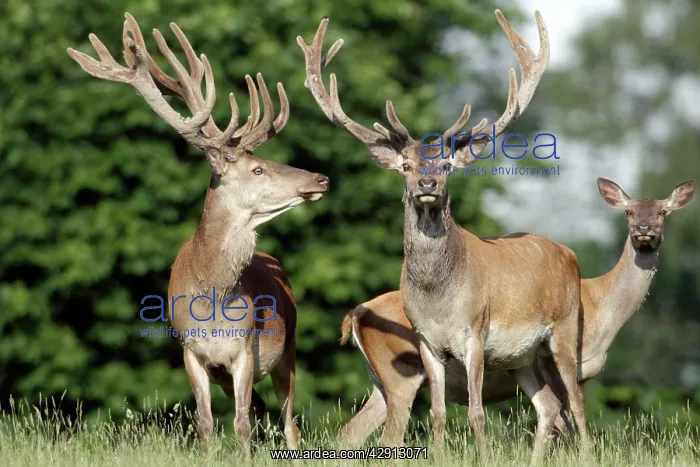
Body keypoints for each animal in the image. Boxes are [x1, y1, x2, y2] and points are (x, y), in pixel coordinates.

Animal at [67, 13, 330, 454]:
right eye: (257, 168)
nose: (320, 178)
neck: (212, 299)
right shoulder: (191, 352)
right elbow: (207, 423)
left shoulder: (244, 348)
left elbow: (241, 424)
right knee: (264, 414)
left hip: (289, 349)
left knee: (288, 422)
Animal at [298, 10, 589, 464]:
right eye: (406, 165)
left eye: (448, 164)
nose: (428, 184)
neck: (439, 299)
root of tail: (569, 253)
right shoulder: (426, 343)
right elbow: (437, 413)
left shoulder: (475, 333)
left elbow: (475, 413)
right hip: (520, 357)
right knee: (549, 406)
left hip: (564, 328)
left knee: (575, 403)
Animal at [337, 177, 696, 449]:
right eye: (628, 211)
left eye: (664, 211)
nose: (644, 230)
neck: (600, 311)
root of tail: (354, 315)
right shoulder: (549, 363)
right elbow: (565, 423)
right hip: (402, 376)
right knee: (387, 436)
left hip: (381, 382)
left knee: (351, 432)